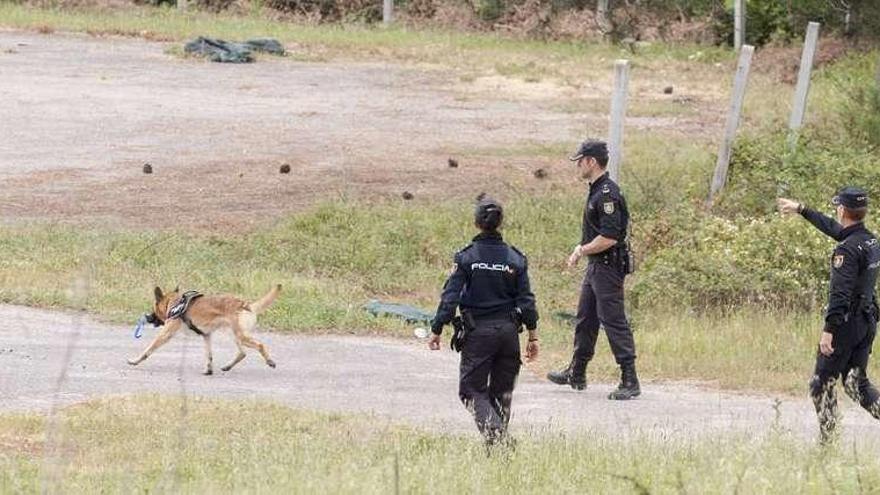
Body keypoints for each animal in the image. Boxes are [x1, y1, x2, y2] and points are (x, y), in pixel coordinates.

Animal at [127, 282, 282, 376]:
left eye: (153, 308)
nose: (148, 317)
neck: (174, 303)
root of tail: (245, 304)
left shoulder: (166, 334)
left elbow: (148, 349)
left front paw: (135, 360)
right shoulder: (206, 336)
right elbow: (209, 355)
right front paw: (208, 370)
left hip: (239, 336)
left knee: (259, 345)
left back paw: (270, 361)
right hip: (234, 335)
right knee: (242, 353)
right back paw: (227, 366)